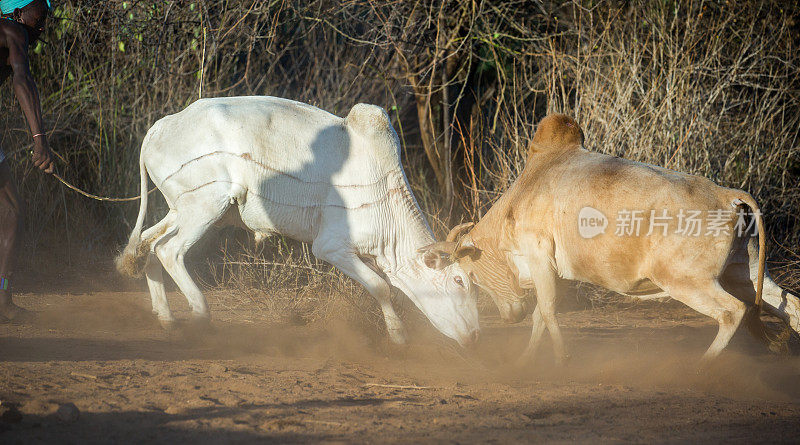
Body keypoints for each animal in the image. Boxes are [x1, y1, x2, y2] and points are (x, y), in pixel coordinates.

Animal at [115, 96, 478, 346]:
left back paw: (166, 317)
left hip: (184, 208)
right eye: (460, 281)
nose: (474, 335)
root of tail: (160, 127)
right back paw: (201, 314)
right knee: (169, 251)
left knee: (149, 243)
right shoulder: (331, 247)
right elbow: (380, 287)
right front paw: (399, 336)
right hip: (206, 205)